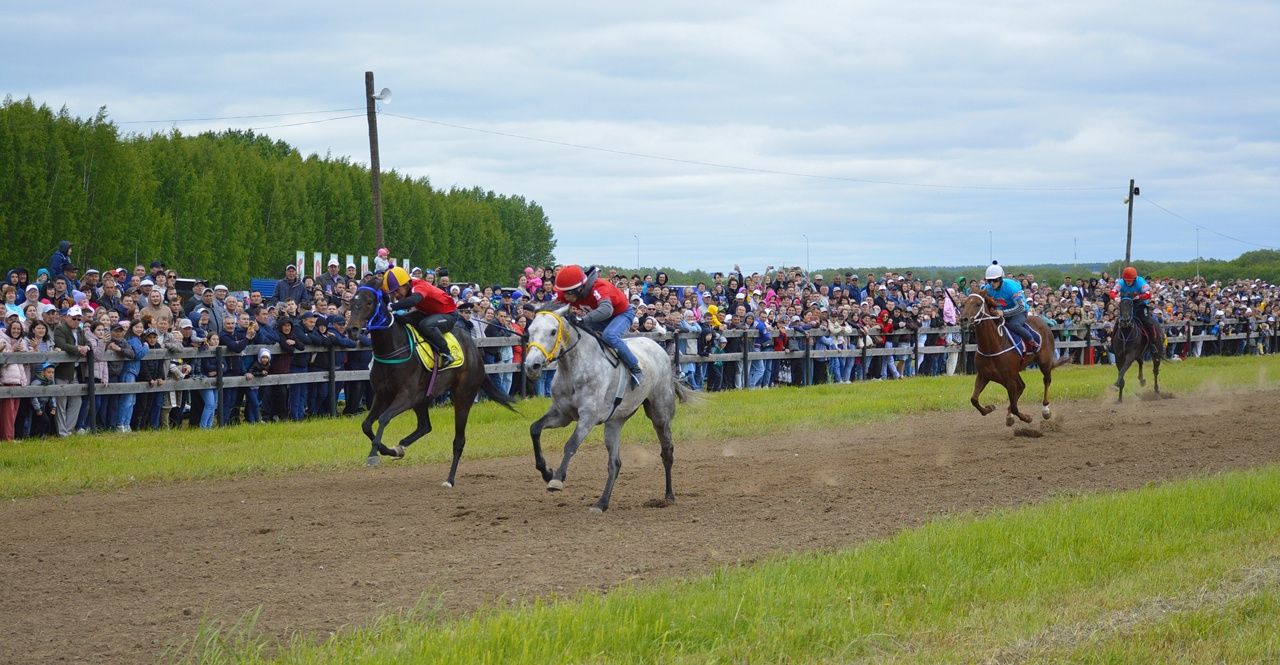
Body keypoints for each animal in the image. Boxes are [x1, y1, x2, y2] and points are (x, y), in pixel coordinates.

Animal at [348, 274, 517, 488]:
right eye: (351, 302)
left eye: (369, 302)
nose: (352, 329)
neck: (392, 347)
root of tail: (475, 352)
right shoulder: (382, 395)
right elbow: (367, 424)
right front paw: (388, 450)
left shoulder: (406, 396)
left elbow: (384, 418)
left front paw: (373, 453)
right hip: (423, 399)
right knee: (424, 426)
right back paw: (400, 447)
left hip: (463, 396)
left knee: (458, 441)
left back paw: (449, 480)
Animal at [962, 291, 1070, 427]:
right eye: (965, 303)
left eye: (978, 304)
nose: (963, 319)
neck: (992, 346)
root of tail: (1042, 321)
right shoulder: (984, 376)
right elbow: (974, 399)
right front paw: (990, 408)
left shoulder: (1009, 379)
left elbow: (1014, 406)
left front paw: (1027, 418)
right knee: (1022, 386)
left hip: (1044, 363)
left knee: (1046, 381)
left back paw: (1045, 410)